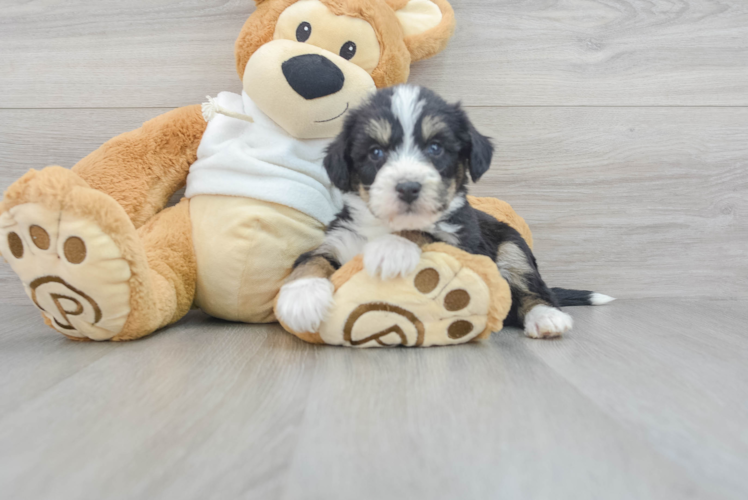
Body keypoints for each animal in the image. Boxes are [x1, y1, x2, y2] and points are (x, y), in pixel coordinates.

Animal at [274, 86, 612, 340]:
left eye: (435, 148)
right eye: (376, 152)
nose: (408, 187)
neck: (384, 225)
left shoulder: (466, 245)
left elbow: (423, 232)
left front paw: (391, 249)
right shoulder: (339, 240)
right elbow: (311, 262)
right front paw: (300, 299)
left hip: (512, 245)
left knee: (532, 291)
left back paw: (547, 318)